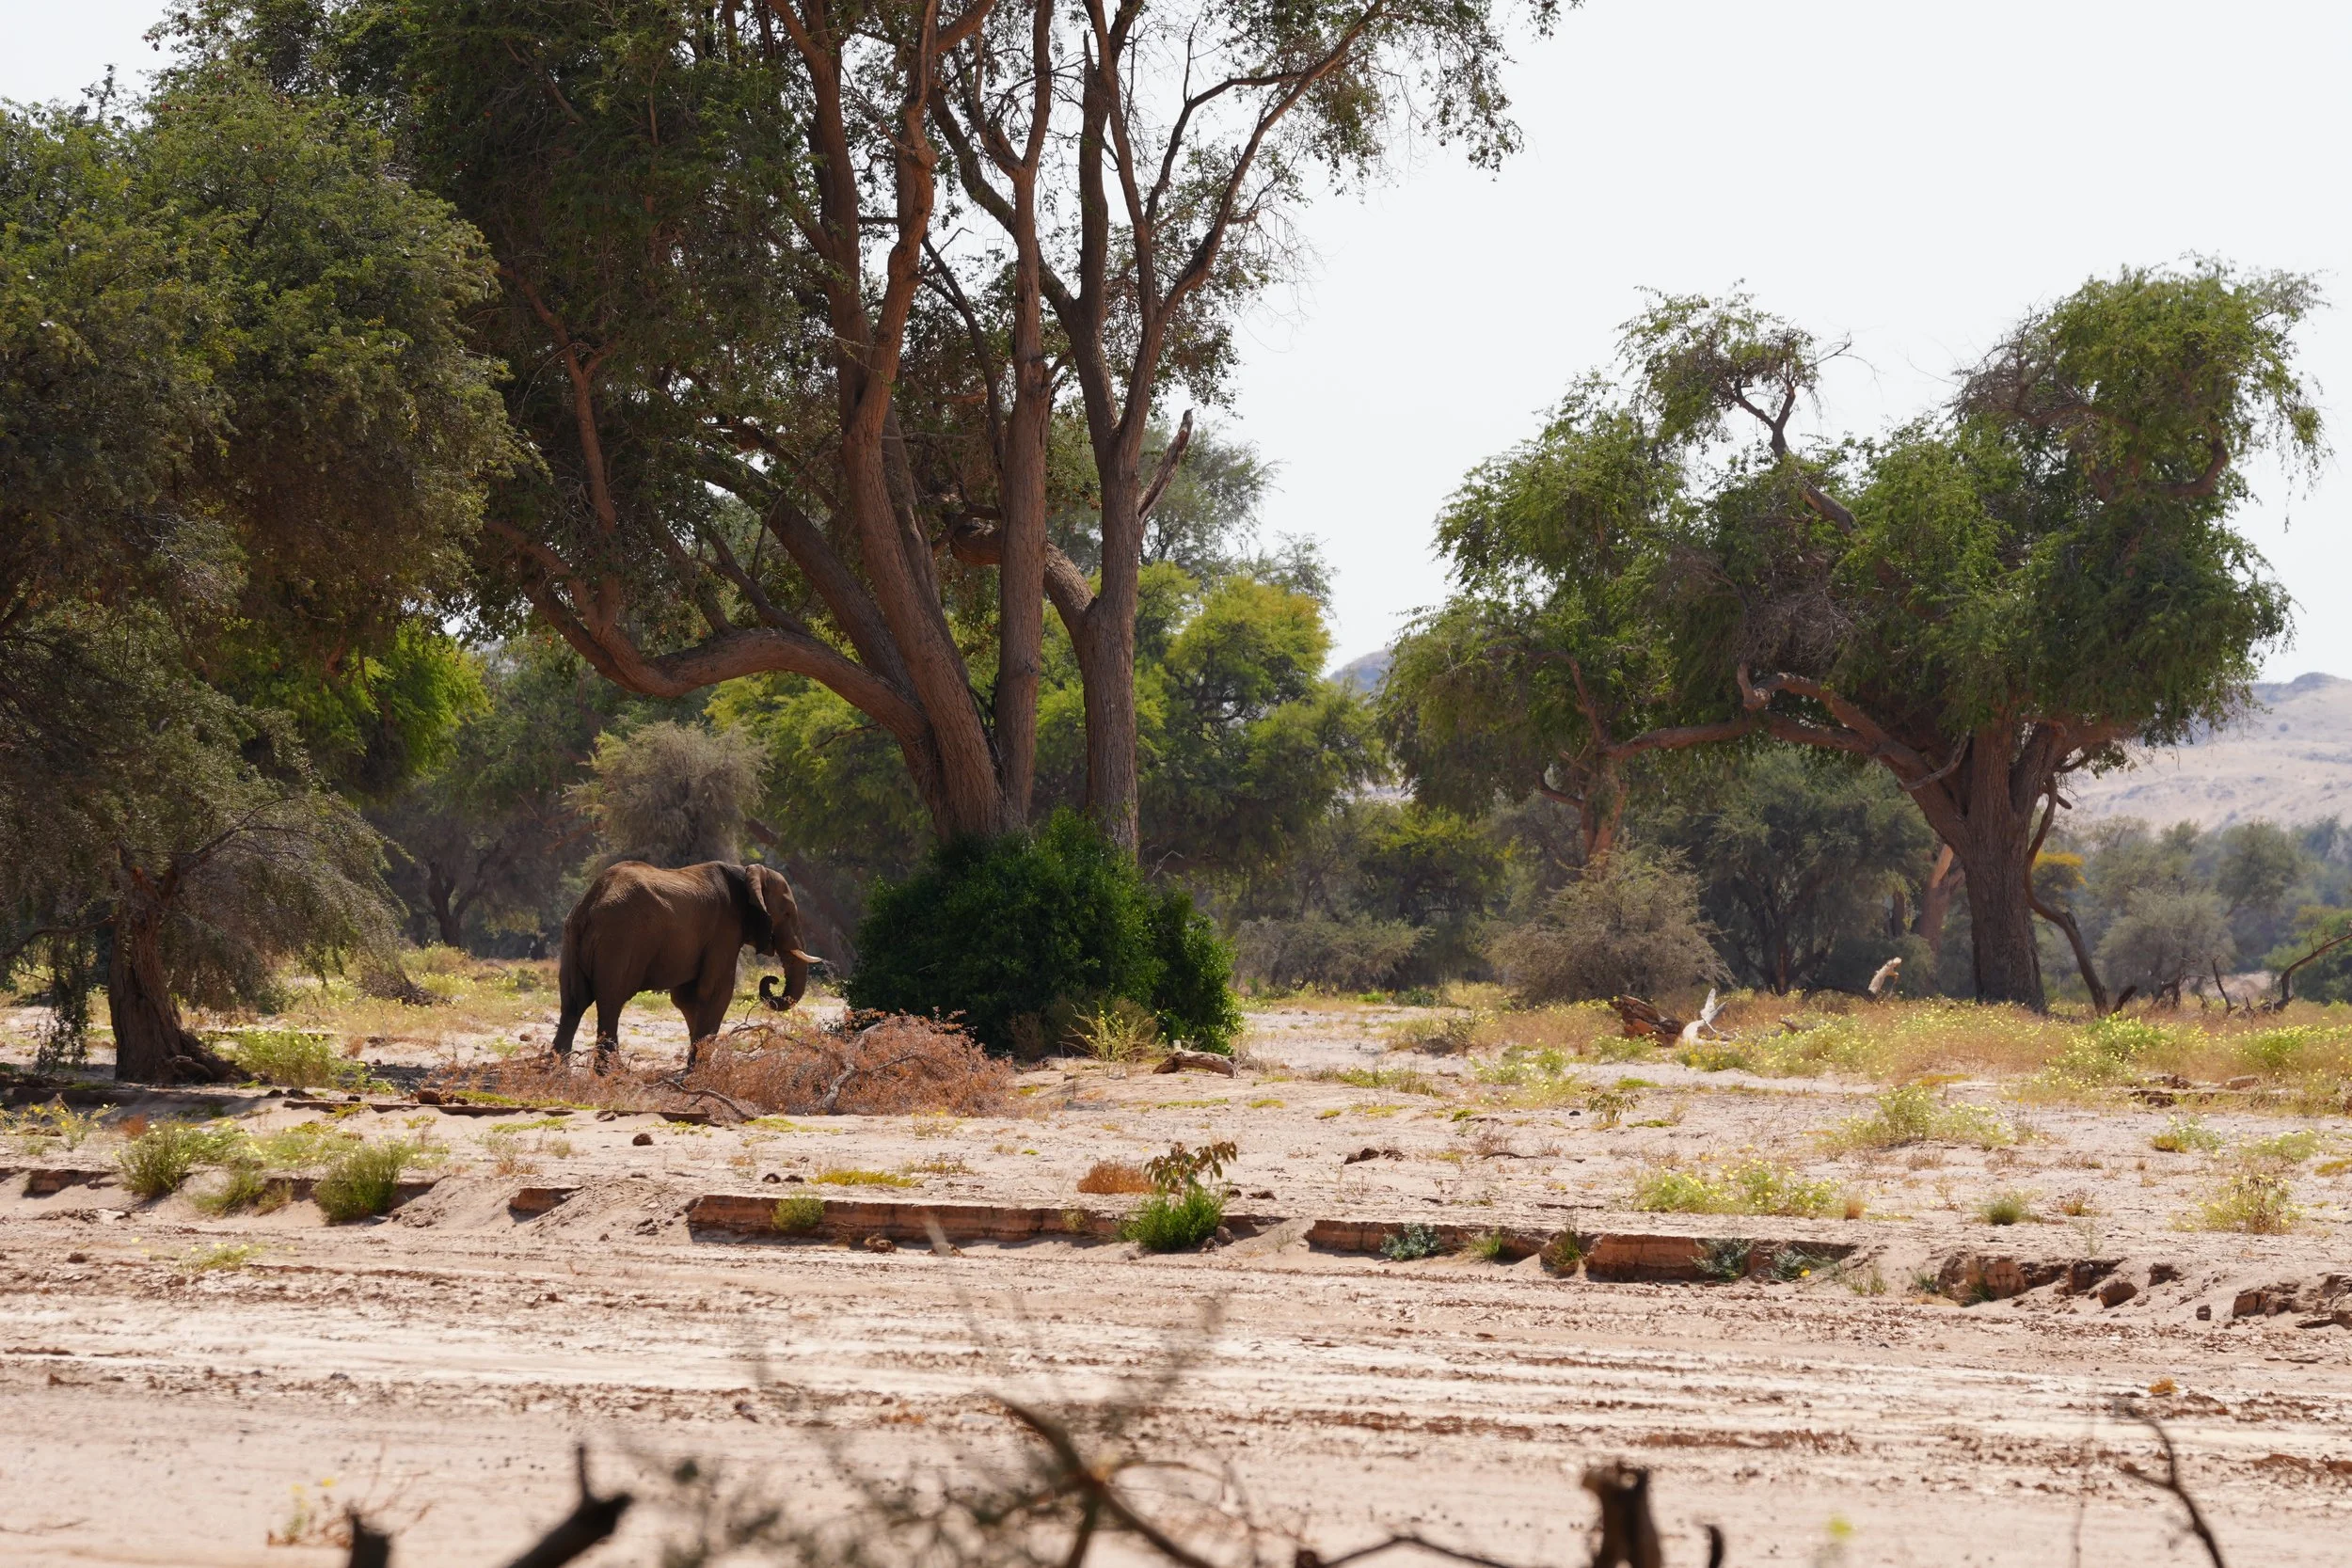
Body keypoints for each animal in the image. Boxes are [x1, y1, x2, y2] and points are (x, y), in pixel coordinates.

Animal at [553, 861, 819, 1070]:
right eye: (787, 913)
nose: (771, 979)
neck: (745, 874)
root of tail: (591, 904)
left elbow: (687, 999)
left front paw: (695, 1070)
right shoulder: (724, 931)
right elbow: (715, 993)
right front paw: (701, 1074)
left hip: (571, 935)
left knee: (574, 1003)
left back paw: (559, 1075)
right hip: (620, 939)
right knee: (610, 1001)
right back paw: (613, 1075)